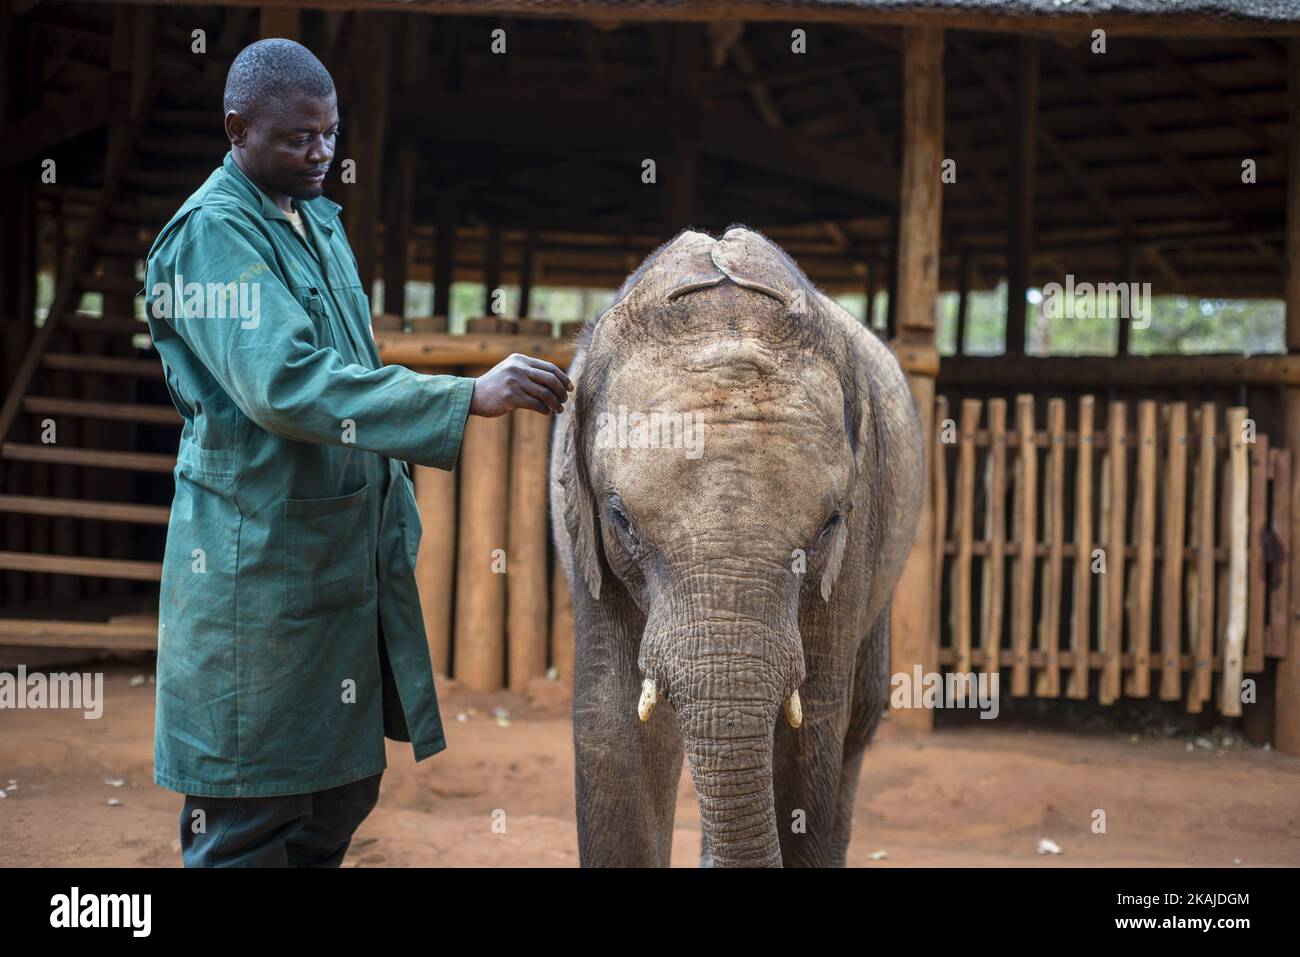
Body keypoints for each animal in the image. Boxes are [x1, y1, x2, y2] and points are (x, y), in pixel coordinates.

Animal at [548, 226, 924, 867]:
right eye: (622, 520)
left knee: (858, 720)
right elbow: (615, 730)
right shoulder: (589, 548)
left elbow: (810, 730)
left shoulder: (859, 527)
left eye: (830, 524)